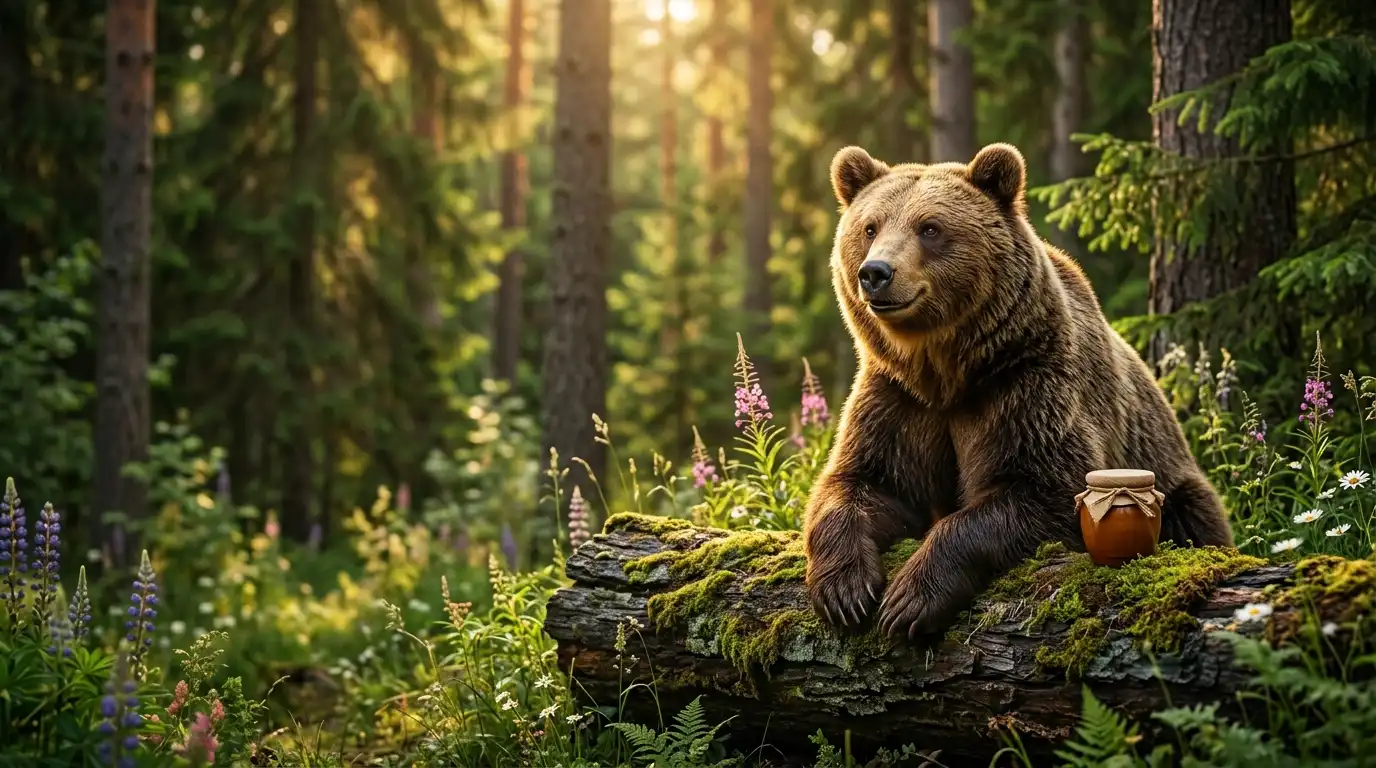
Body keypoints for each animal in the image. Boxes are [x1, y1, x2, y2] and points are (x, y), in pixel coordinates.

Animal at [803, 142, 1234, 641]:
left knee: (1194, 517)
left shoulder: (1026, 387)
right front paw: (845, 591)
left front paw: (909, 600)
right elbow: (863, 482)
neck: (946, 372)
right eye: (870, 227)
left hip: (1173, 479)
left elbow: (1041, 491)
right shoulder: (898, 398)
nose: (875, 272)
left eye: (929, 228)